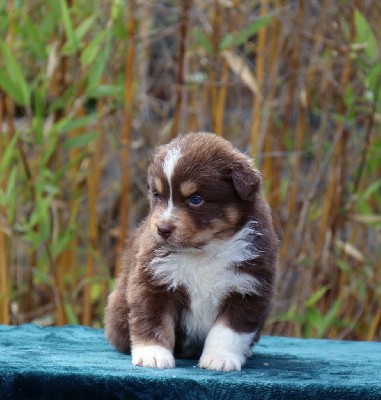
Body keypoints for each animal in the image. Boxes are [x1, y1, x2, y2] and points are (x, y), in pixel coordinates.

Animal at [105, 132, 278, 372]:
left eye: (196, 199)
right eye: (158, 195)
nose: (162, 229)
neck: (204, 251)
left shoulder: (247, 286)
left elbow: (228, 331)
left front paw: (219, 359)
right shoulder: (154, 281)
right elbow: (154, 320)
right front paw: (153, 355)